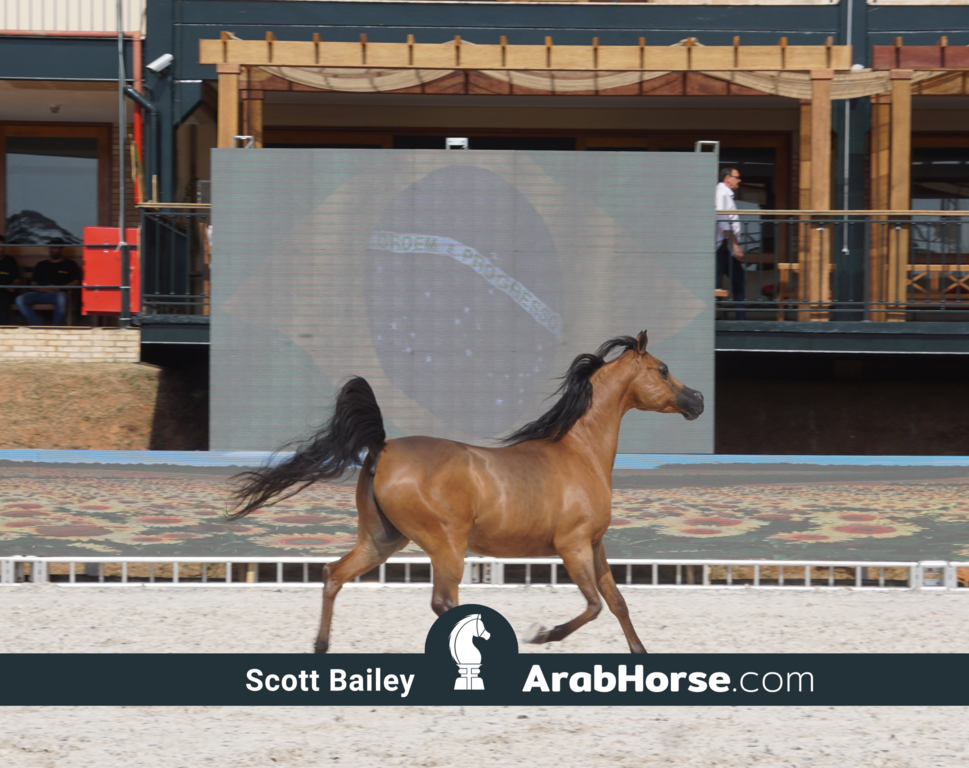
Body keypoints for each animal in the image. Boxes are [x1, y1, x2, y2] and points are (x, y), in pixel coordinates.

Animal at [228, 329, 704, 654]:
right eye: (663, 369)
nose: (698, 399)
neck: (579, 451)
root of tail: (382, 447)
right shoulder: (572, 546)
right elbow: (593, 606)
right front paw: (542, 634)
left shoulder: (595, 544)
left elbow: (617, 602)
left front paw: (640, 654)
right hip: (445, 544)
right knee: (444, 602)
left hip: (382, 540)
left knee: (333, 575)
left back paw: (321, 647)